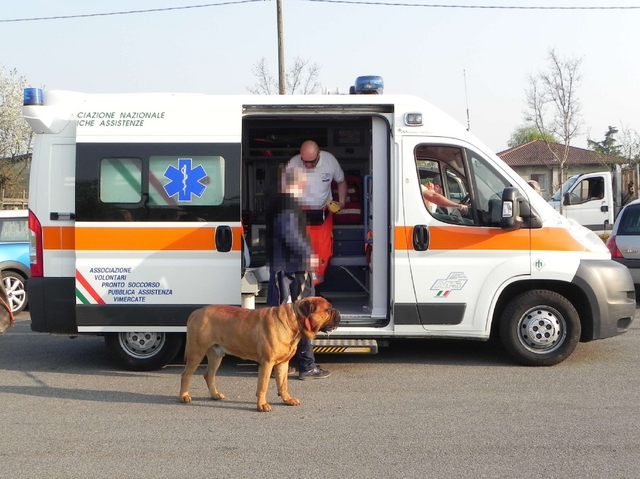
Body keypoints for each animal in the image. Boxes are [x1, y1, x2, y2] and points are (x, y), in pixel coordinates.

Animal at [179, 296, 340, 412]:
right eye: (328, 309)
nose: (338, 312)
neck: (294, 321)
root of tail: (196, 312)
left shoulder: (282, 363)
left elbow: (283, 384)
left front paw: (287, 399)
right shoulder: (267, 363)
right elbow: (263, 385)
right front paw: (262, 405)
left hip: (216, 354)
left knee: (209, 375)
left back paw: (215, 395)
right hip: (196, 351)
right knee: (186, 375)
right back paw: (184, 396)